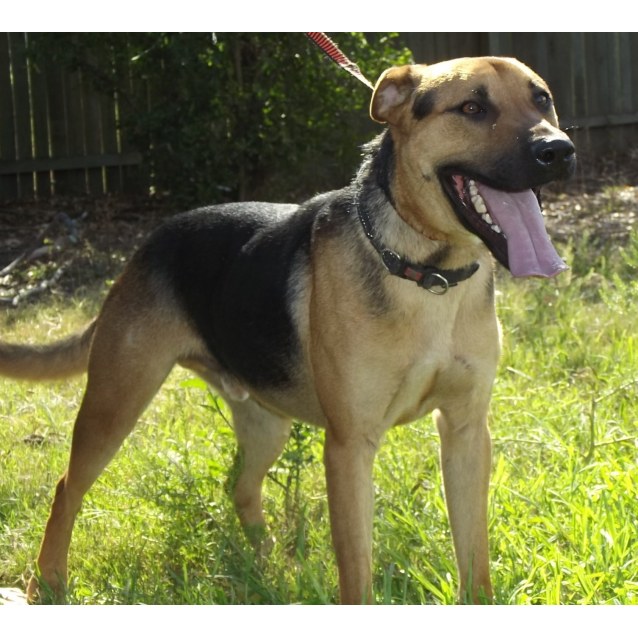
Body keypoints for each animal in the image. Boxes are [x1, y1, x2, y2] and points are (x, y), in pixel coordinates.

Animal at [0, 57, 576, 608]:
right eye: (472, 108)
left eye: (542, 99)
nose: (559, 150)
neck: (427, 273)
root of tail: (147, 245)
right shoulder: (349, 446)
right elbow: (356, 574)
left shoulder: (465, 431)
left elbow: (474, 558)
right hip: (115, 403)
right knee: (66, 488)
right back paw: (48, 582)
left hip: (265, 422)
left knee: (239, 487)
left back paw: (271, 569)